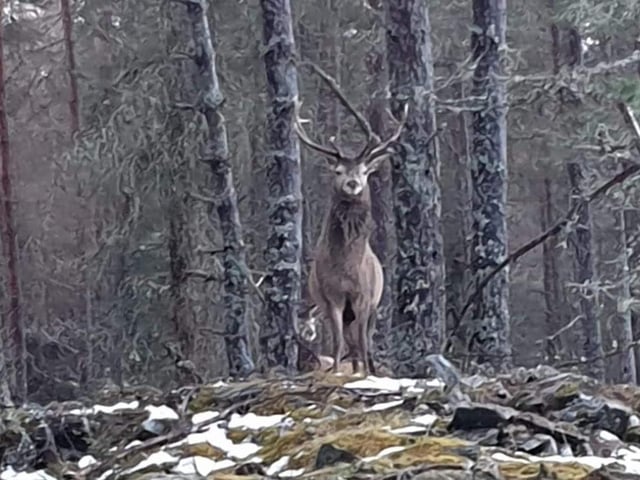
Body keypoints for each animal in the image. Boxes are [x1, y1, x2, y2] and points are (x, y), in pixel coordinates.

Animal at [293, 62, 408, 376]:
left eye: (365, 170)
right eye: (338, 171)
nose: (353, 183)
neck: (345, 266)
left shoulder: (364, 297)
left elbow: (363, 343)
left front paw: (367, 374)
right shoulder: (331, 296)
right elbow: (337, 343)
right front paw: (336, 372)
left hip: (371, 308)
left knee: (362, 341)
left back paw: (365, 368)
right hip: (344, 310)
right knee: (350, 342)